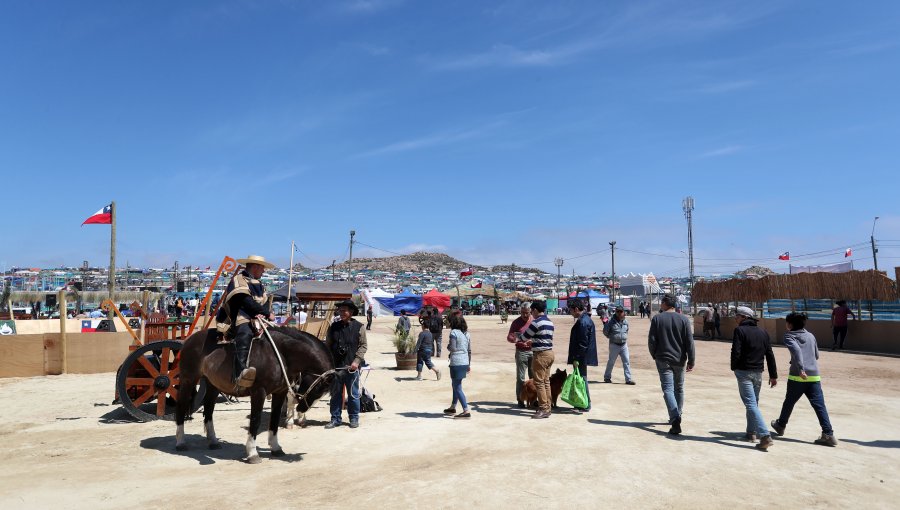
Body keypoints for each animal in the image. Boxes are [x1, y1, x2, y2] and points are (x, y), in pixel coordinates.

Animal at [175, 326, 334, 462]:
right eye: (319, 388)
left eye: (323, 392)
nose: (301, 408)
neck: (280, 353)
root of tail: (190, 339)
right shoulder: (259, 392)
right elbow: (255, 420)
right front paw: (252, 453)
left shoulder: (280, 392)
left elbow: (274, 420)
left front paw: (276, 448)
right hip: (188, 380)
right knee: (182, 406)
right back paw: (180, 442)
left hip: (213, 384)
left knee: (208, 408)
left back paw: (213, 441)